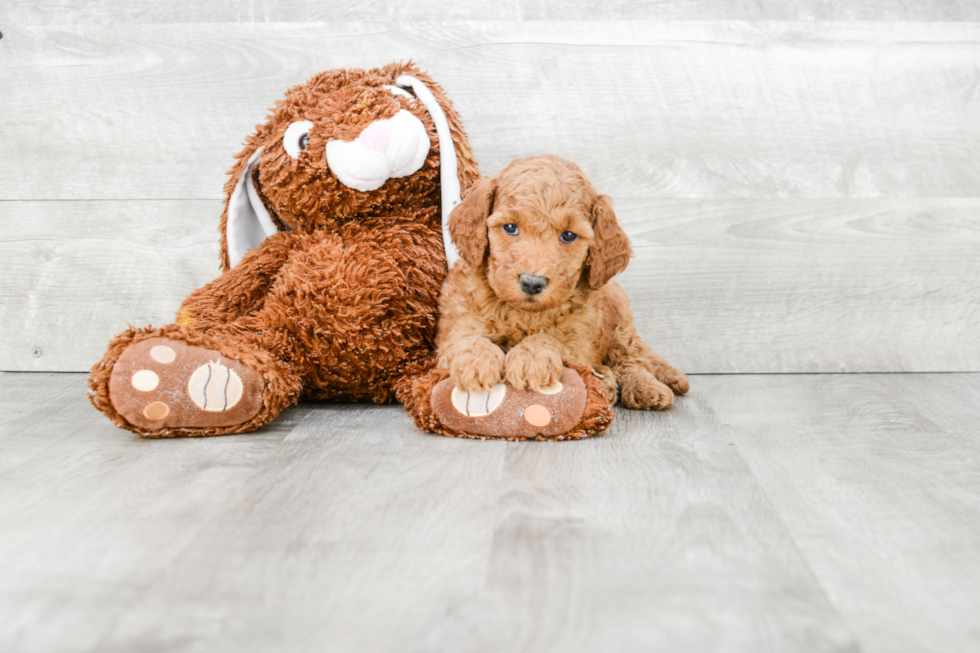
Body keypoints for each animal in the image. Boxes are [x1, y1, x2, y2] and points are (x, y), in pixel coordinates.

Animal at [438, 154, 688, 408]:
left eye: (568, 235)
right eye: (510, 227)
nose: (532, 283)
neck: (524, 315)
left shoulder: (578, 338)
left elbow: (553, 338)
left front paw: (532, 358)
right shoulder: (459, 318)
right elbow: (466, 337)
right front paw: (475, 361)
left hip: (620, 315)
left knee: (631, 358)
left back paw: (644, 387)